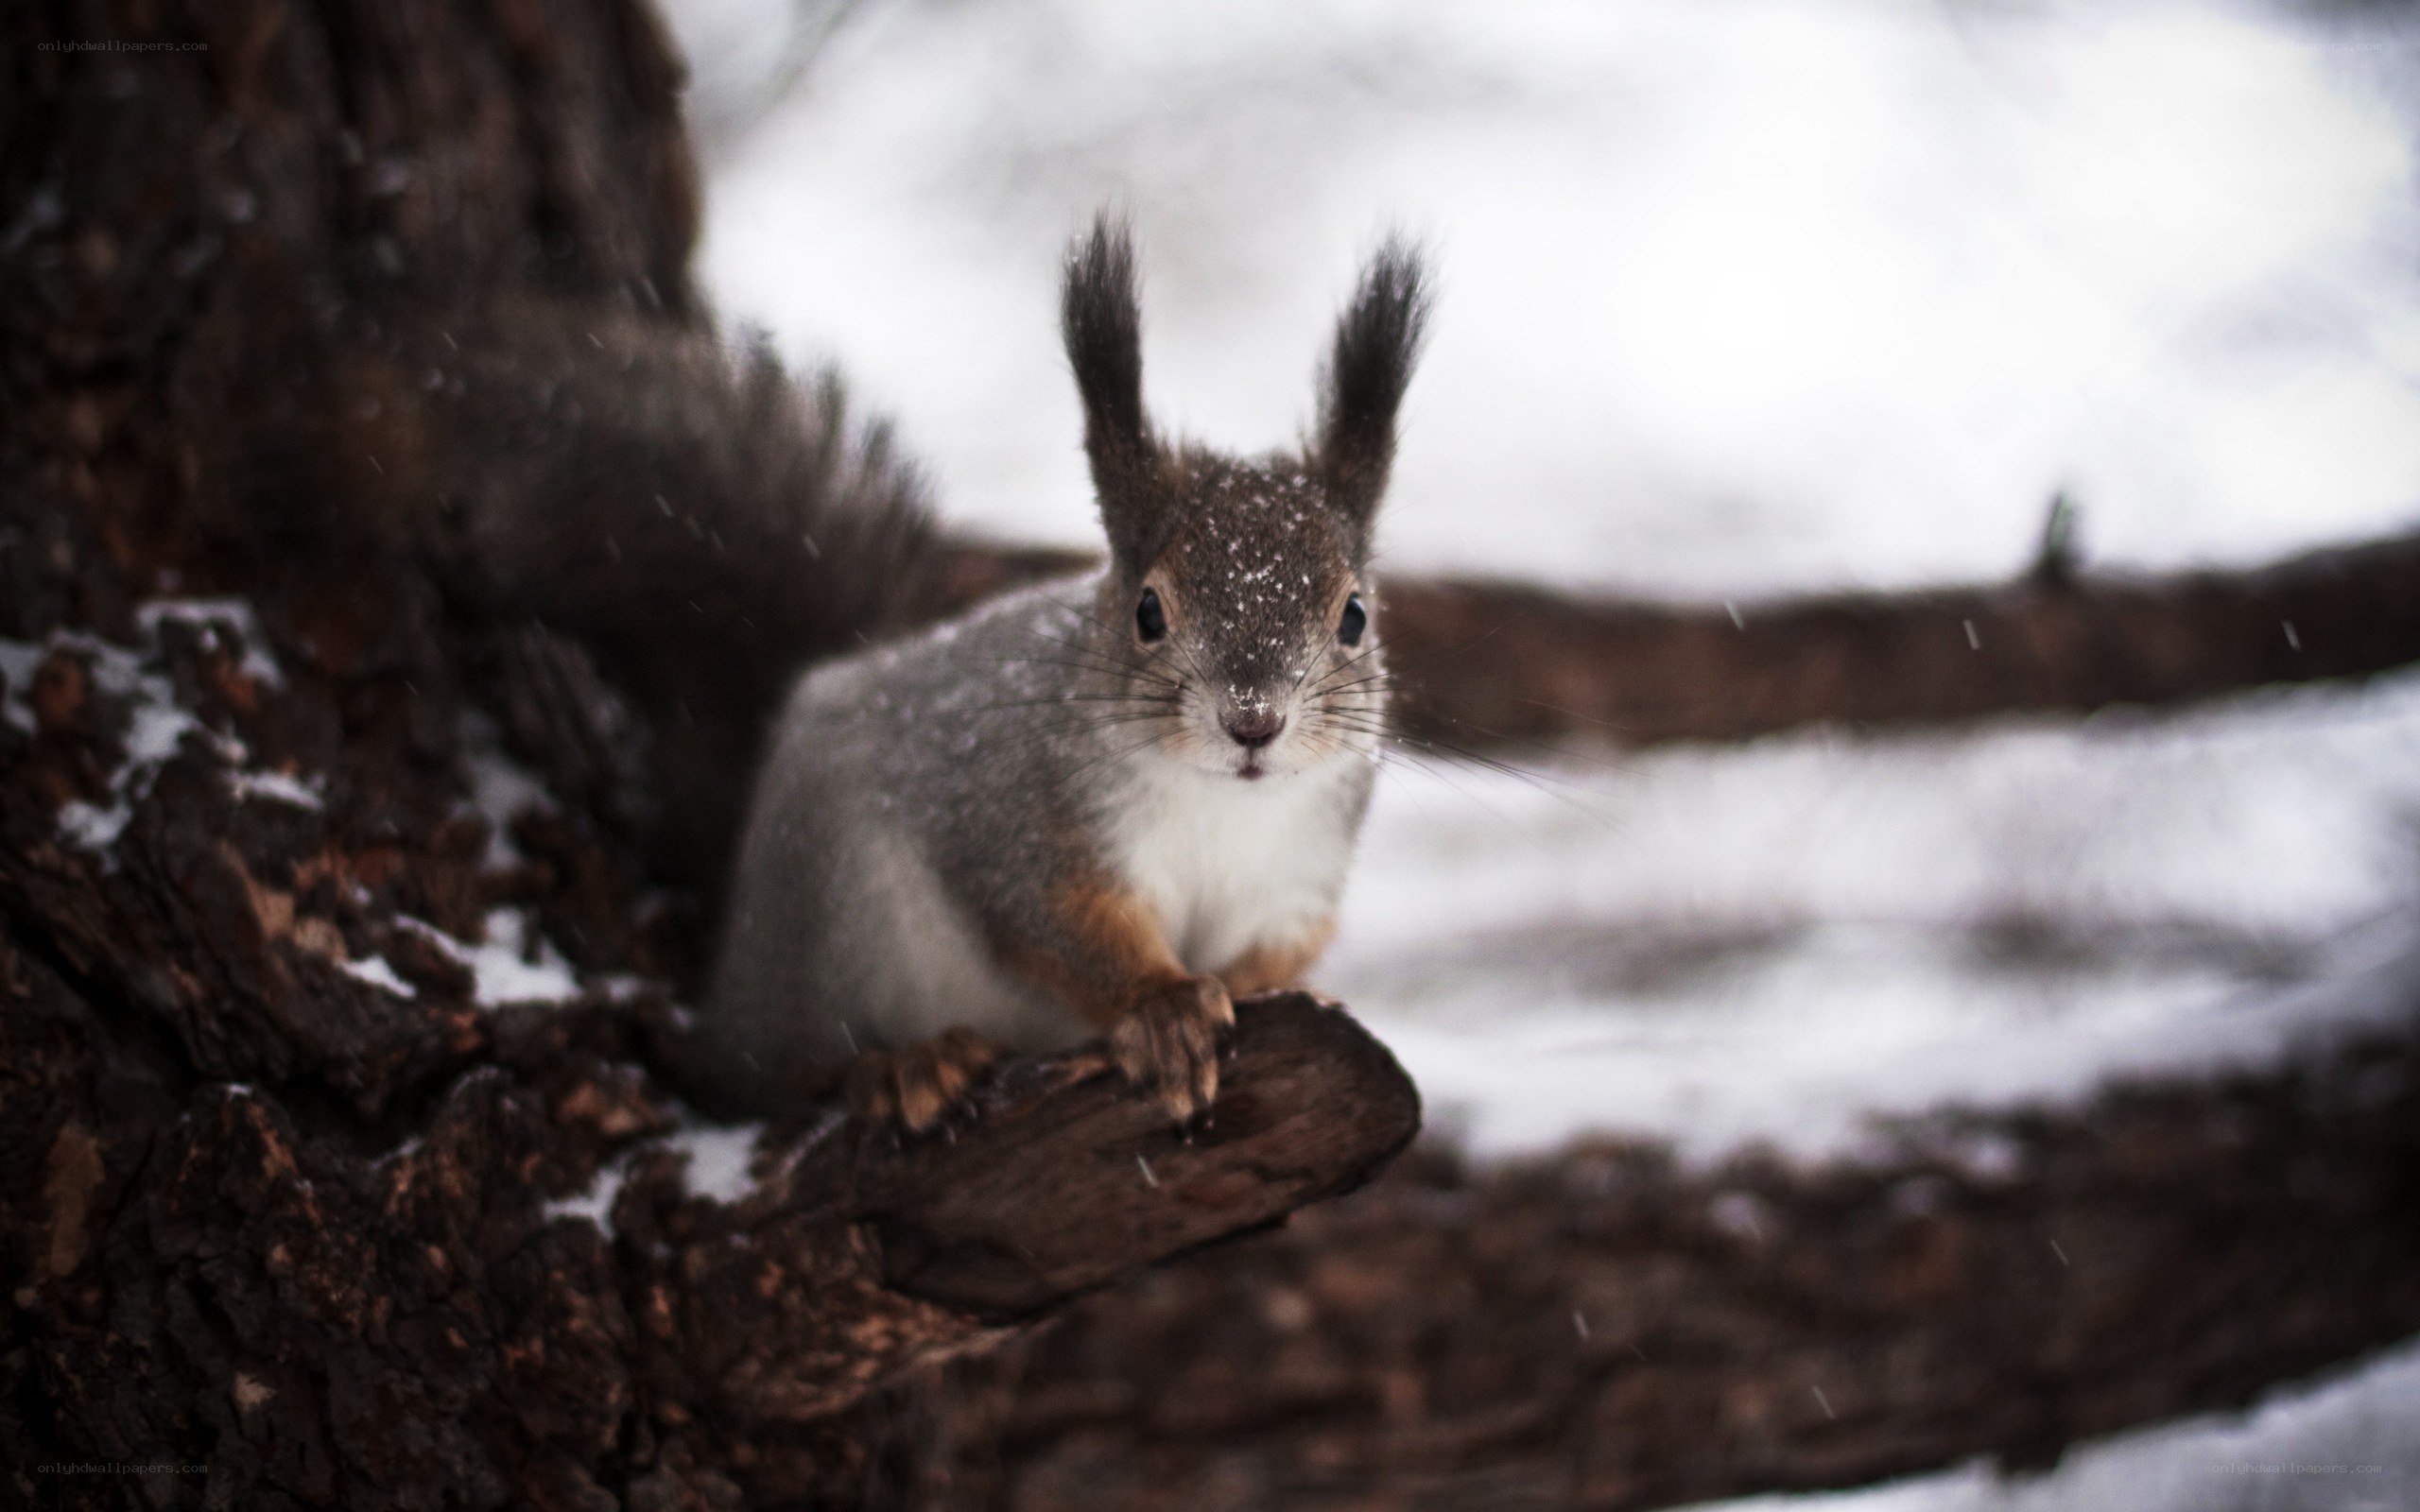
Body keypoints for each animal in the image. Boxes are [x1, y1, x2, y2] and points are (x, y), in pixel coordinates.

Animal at [695, 215, 1431, 1127]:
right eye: (1147, 611)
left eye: (1354, 616)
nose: (1253, 721)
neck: (1223, 806)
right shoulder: (1024, 827)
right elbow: (1062, 930)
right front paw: (1164, 1010)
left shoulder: (1296, 886)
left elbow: (1271, 957)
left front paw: (1276, 997)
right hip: (826, 911)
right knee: (781, 1074)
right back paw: (904, 1065)